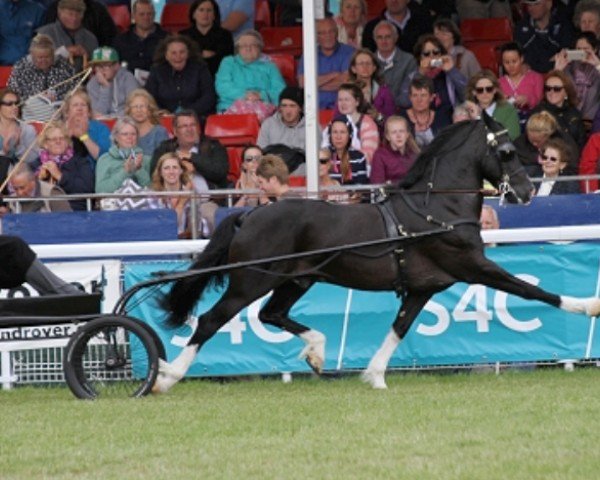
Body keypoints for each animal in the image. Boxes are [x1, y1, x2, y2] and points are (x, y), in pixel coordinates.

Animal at [154, 114, 600, 392]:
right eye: (506, 152)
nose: (525, 192)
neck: (435, 210)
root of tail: (250, 213)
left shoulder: (423, 287)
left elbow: (399, 328)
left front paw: (375, 375)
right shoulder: (471, 265)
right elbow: (529, 289)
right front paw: (588, 305)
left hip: (297, 279)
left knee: (271, 314)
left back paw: (317, 351)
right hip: (252, 280)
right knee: (212, 320)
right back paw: (167, 376)